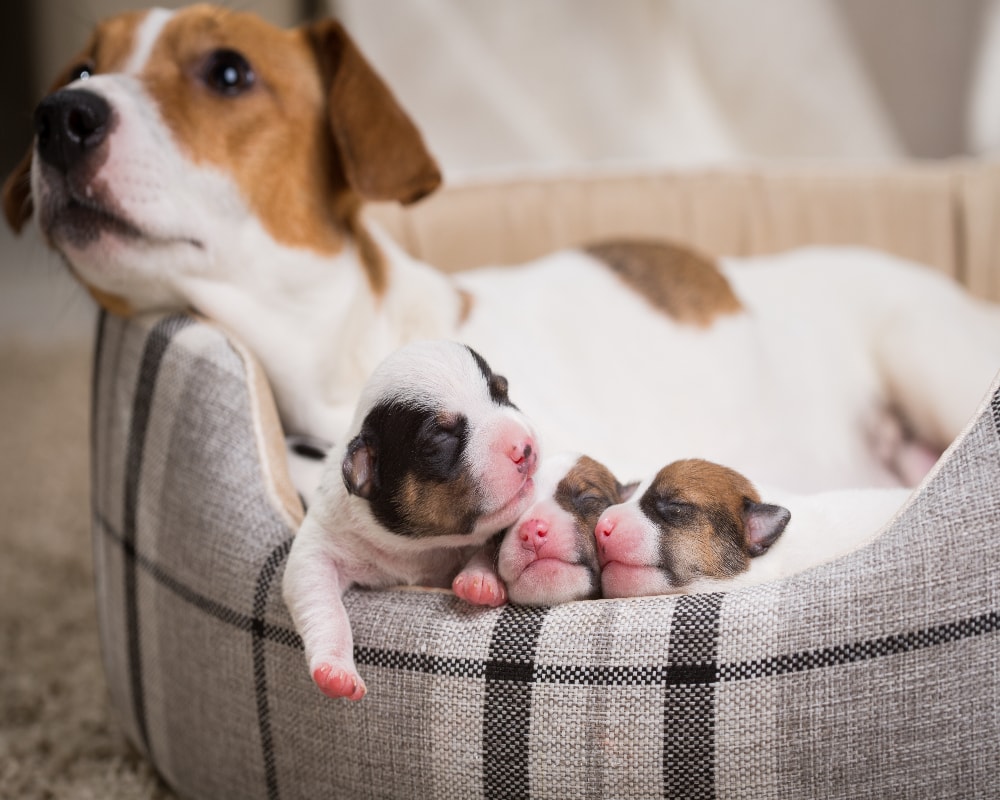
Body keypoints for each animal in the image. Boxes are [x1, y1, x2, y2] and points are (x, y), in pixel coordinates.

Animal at [284, 340, 540, 700]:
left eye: (503, 392)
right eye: (440, 439)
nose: (525, 446)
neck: (423, 545)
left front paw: (479, 580)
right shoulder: (321, 542)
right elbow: (319, 598)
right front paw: (334, 670)